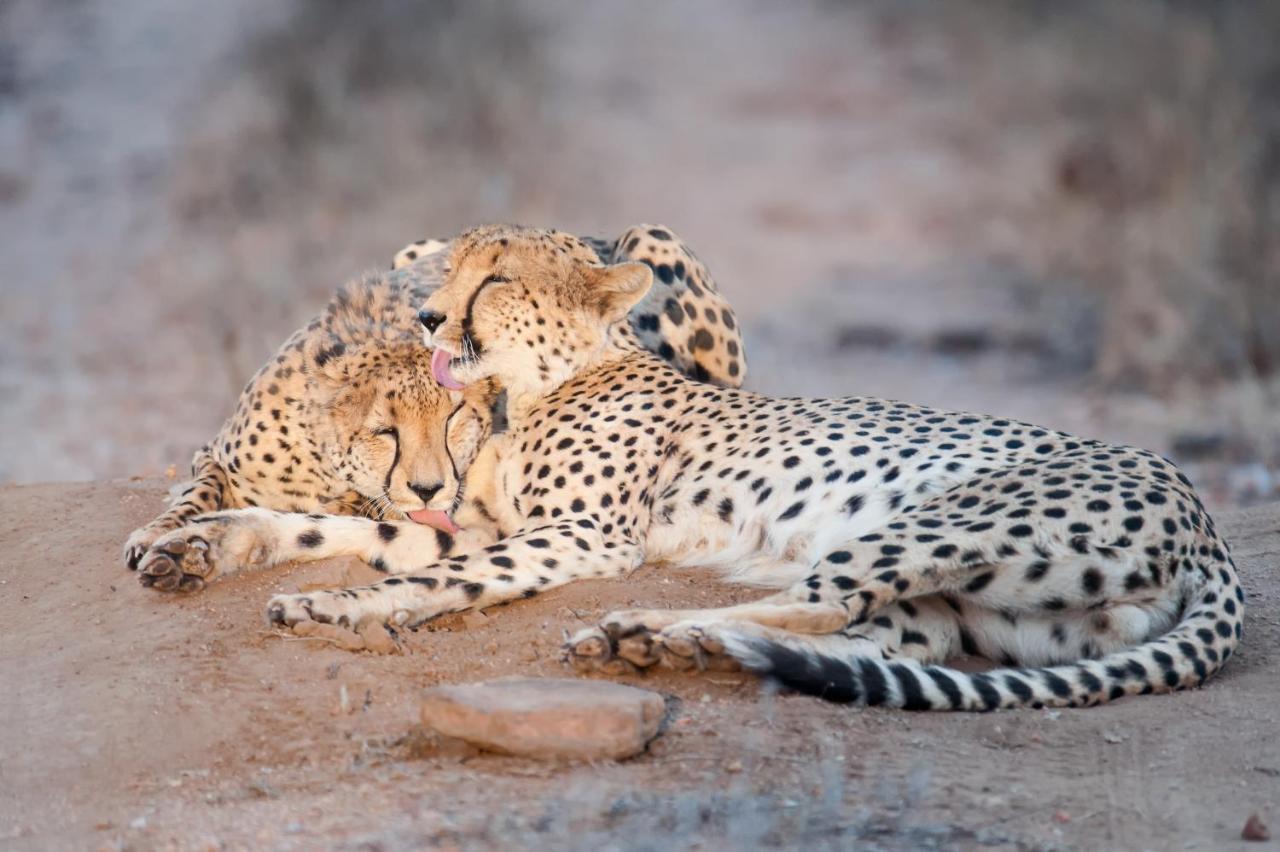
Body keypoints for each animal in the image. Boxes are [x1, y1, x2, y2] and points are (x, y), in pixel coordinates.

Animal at [124, 222, 747, 588]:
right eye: (385, 432)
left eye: (456, 420)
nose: (428, 489)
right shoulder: (214, 454)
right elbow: (199, 491)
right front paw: (162, 537)